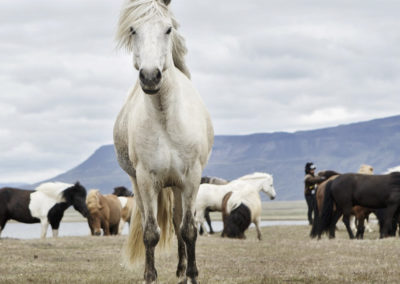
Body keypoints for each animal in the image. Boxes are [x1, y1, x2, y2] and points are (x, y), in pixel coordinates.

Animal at [113, 1, 212, 282]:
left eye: (168, 29)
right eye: (133, 30)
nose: (149, 76)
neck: (165, 117)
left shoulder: (191, 178)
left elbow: (188, 230)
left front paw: (192, 275)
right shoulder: (146, 180)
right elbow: (150, 233)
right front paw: (150, 275)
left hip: (178, 187)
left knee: (180, 224)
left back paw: (182, 270)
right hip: (141, 184)